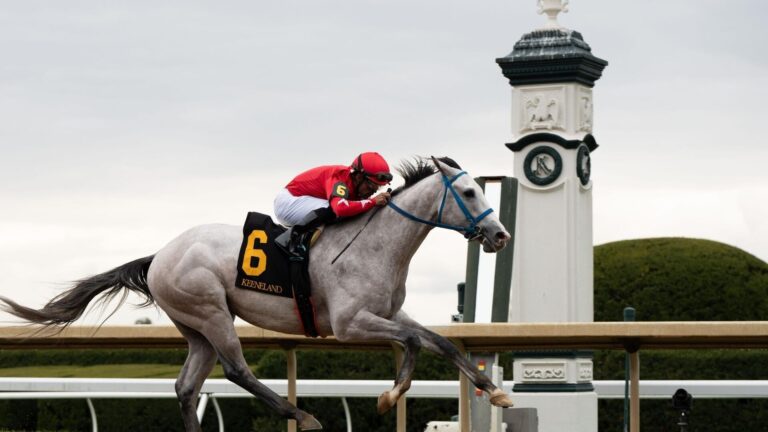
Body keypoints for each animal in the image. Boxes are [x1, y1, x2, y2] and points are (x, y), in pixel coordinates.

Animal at [0, 156, 513, 431]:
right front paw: (390, 396)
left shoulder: (392, 312)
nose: (500, 235)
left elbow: (440, 342)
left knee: (187, 386)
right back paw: (302, 416)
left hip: (195, 328)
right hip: (210, 312)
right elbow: (410, 344)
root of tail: (160, 255)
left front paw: (495, 393)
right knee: (236, 370)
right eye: (470, 192)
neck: (377, 243)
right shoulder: (349, 324)